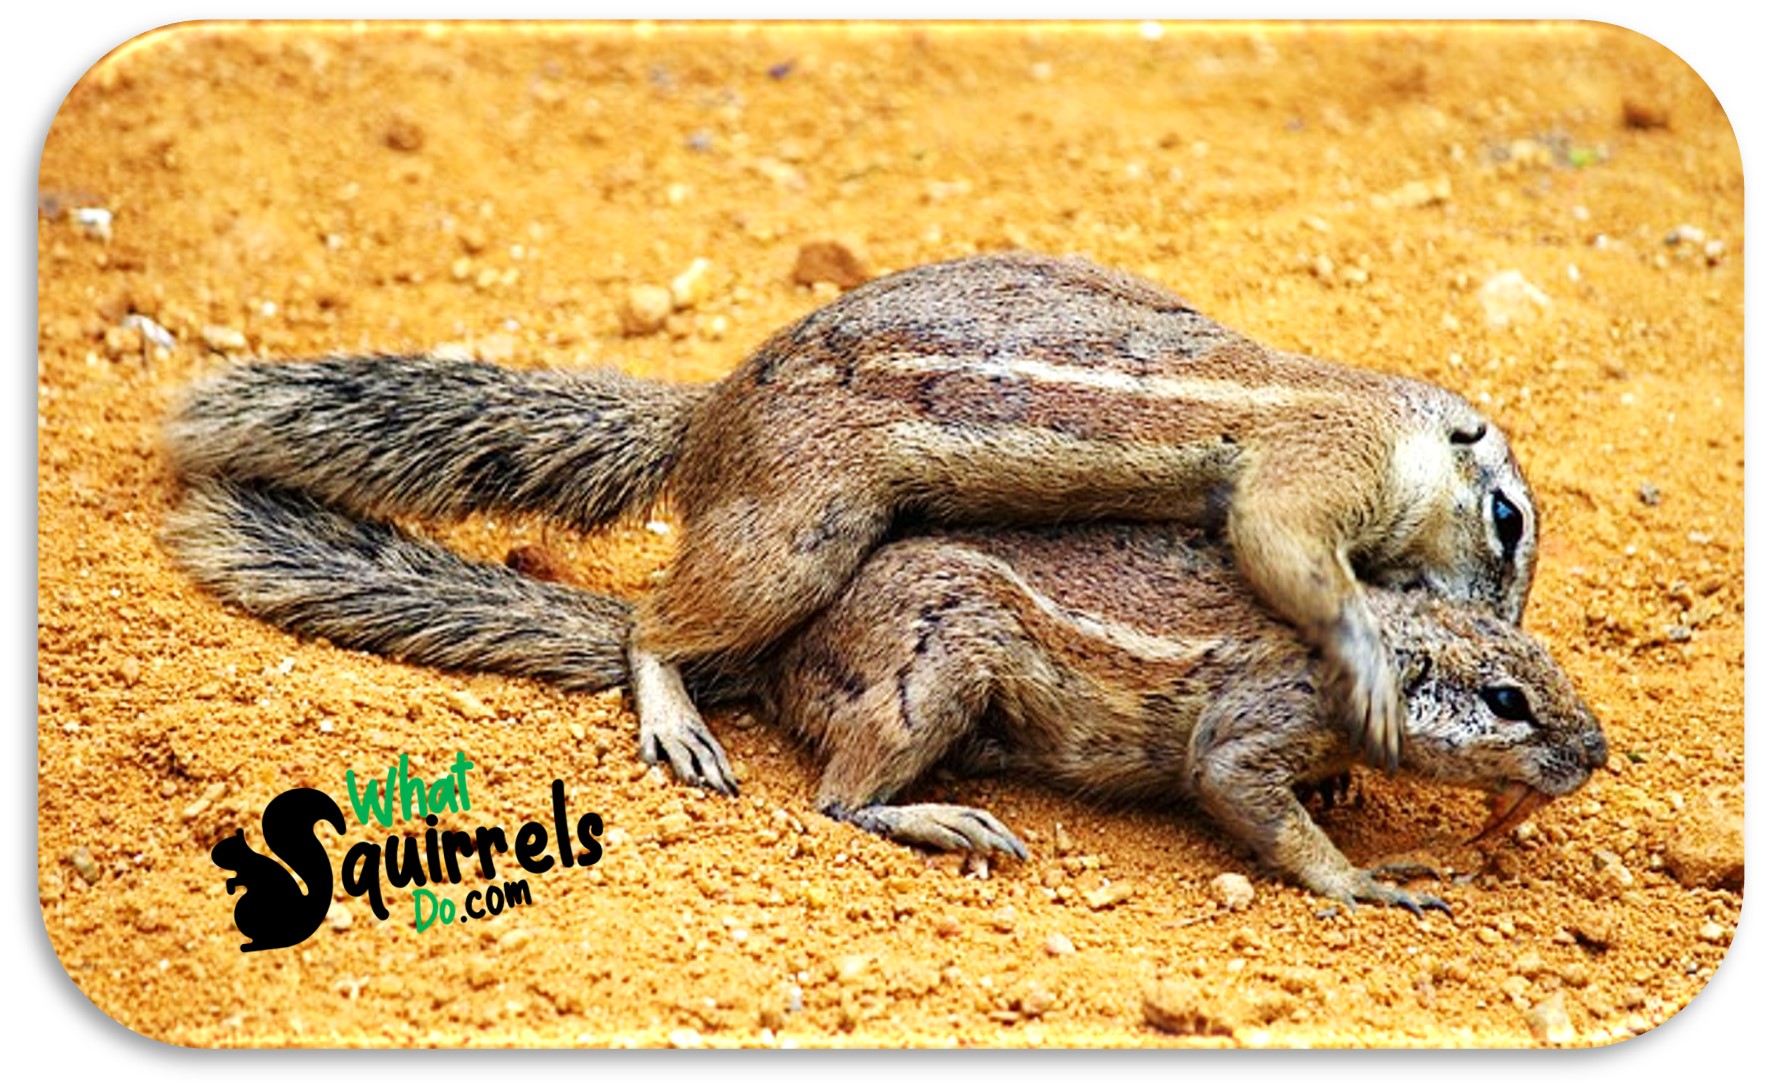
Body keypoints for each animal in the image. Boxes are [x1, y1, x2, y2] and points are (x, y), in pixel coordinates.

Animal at [163, 251, 1538, 789]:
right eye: (1509, 526)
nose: (1493, 622)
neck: (1389, 421)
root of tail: (711, 418)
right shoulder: (1315, 465)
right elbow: (1279, 552)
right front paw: (1364, 659)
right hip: (800, 528)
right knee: (653, 629)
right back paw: (675, 716)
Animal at [165, 483, 1601, 913]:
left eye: (1553, 678)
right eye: (1505, 701)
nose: (1596, 752)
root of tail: (789, 651)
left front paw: (1360, 798)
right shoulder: (1247, 732)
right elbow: (1247, 794)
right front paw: (1373, 877)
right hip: (938, 668)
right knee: (841, 799)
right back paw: (946, 818)